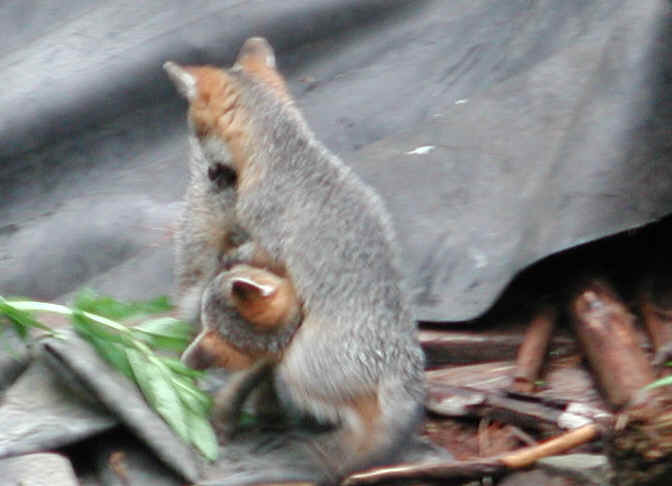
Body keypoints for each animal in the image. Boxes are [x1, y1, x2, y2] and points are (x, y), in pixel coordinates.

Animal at [165, 37, 426, 480]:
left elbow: (247, 253)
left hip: (297, 370)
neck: (292, 153)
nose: (212, 174)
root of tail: (398, 365)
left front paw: (230, 258)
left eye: (195, 132)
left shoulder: (267, 236)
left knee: (362, 425)